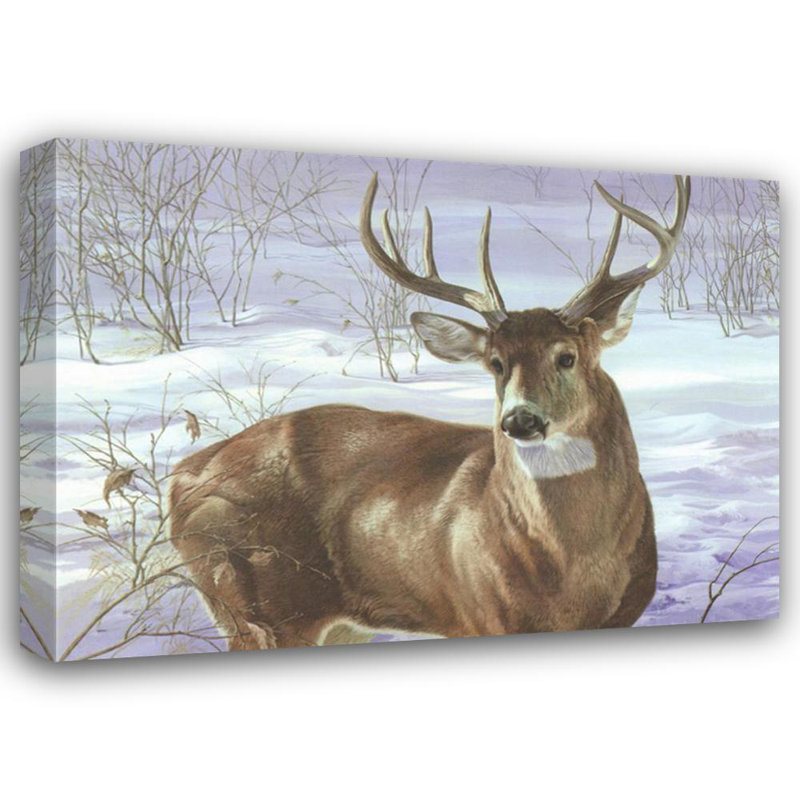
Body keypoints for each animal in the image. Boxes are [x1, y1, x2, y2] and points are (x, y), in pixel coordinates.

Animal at [169, 172, 691, 650]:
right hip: (256, 603)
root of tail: (183, 474)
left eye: (567, 356)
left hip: (335, 623)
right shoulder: (481, 615)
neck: (574, 571)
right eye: (496, 363)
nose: (520, 420)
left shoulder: (621, 615)